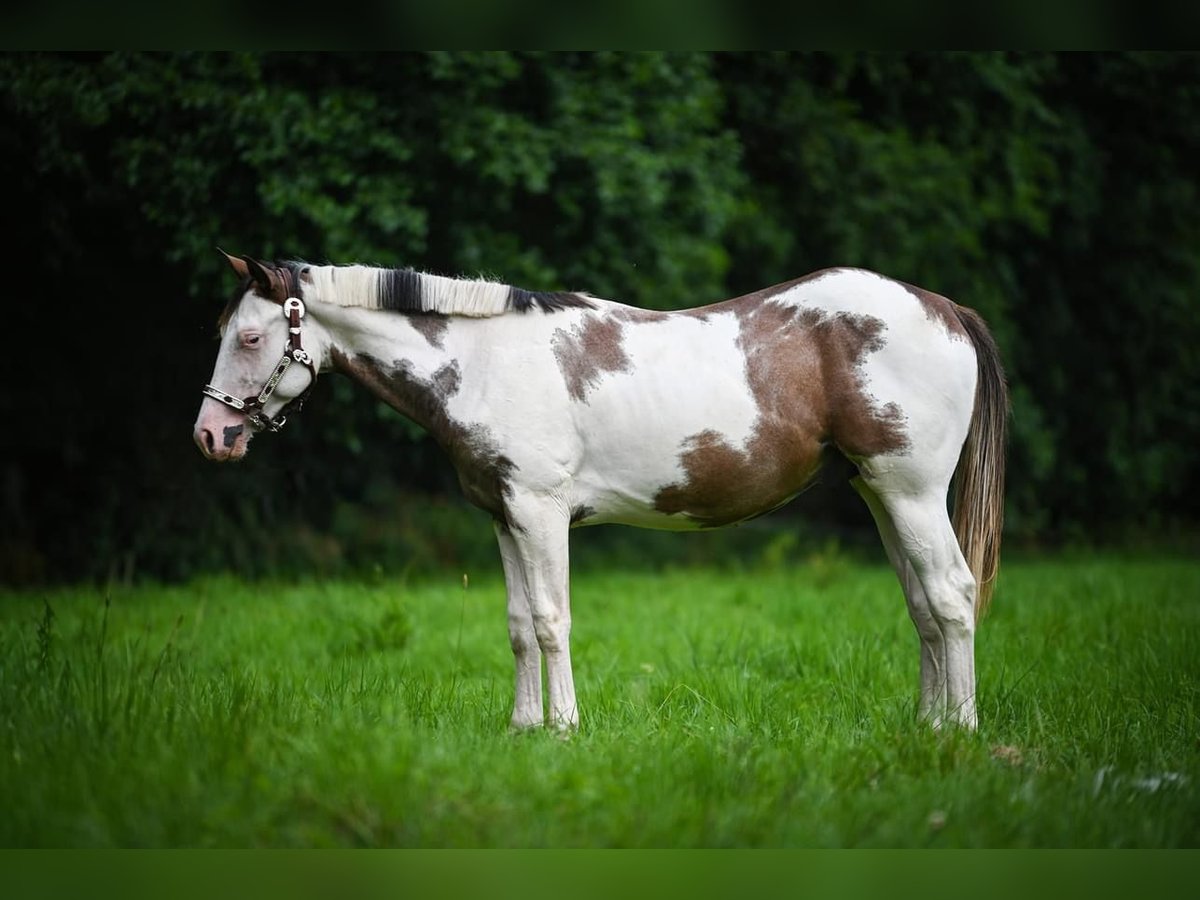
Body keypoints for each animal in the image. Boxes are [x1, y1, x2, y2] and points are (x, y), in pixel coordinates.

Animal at [194, 252, 1003, 734]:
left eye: (250, 339)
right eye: (226, 331)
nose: (211, 436)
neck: (483, 360)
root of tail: (943, 308)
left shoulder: (539, 511)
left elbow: (552, 620)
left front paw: (563, 727)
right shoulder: (502, 517)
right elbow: (518, 624)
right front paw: (522, 728)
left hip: (913, 493)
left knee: (952, 594)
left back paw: (959, 730)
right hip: (880, 495)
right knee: (922, 605)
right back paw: (929, 724)